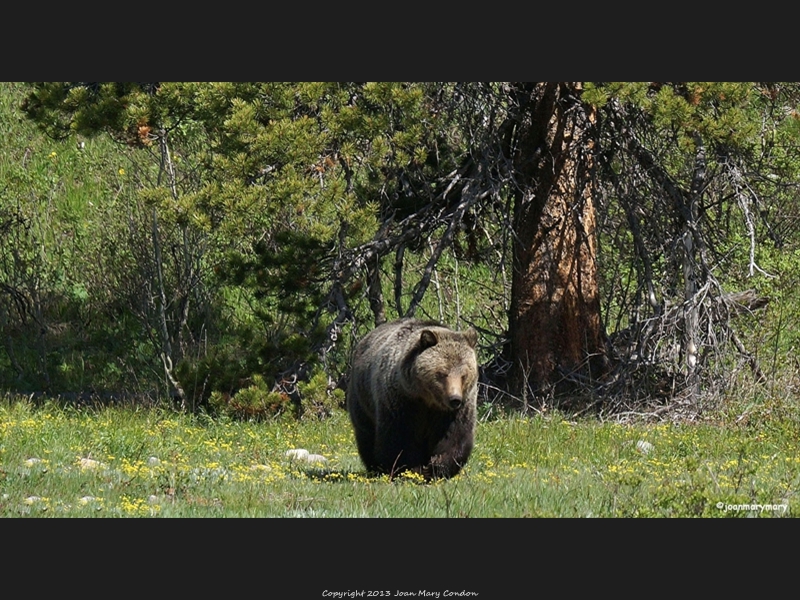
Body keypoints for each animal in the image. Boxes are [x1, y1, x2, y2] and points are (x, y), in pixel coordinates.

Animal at [346, 316, 478, 480]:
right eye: (442, 373)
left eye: (464, 375)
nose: (455, 399)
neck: (427, 399)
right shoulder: (401, 401)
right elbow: (399, 437)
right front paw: (413, 469)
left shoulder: (454, 411)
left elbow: (454, 436)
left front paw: (436, 467)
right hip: (362, 396)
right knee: (366, 433)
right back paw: (375, 466)